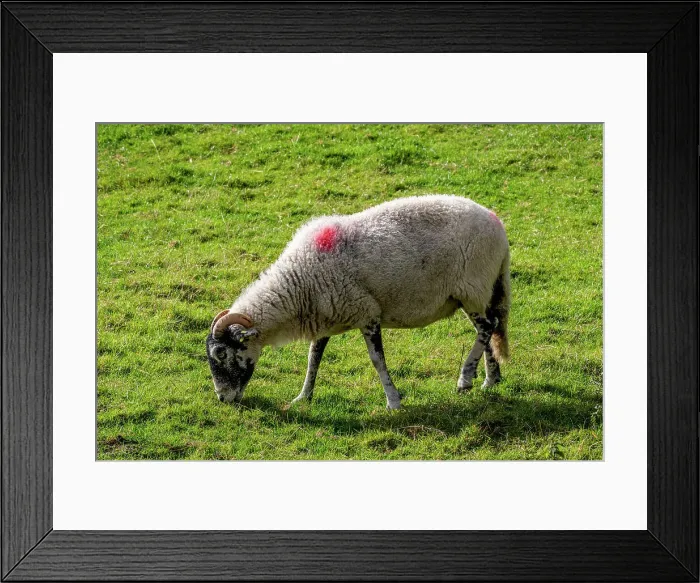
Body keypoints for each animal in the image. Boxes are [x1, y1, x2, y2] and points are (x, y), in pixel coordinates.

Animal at [206, 194, 510, 409]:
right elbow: (313, 357)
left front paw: (393, 401)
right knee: (487, 329)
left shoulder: (368, 314)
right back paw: (490, 380)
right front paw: (303, 396)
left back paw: (465, 380)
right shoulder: (326, 316)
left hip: (472, 288)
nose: (222, 399)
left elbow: (377, 360)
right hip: (476, 292)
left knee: (488, 326)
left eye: (221, 354)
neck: (299, 283)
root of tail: (498, 225)